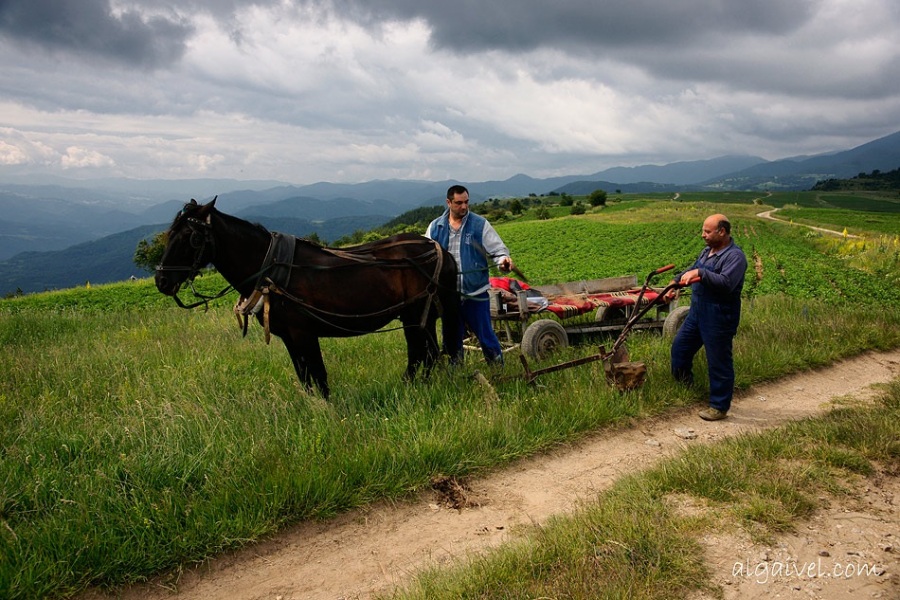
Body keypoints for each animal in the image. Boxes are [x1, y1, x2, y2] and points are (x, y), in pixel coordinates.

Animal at [153, 197, 458, 398]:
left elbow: (318, 377)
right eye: (169, 234)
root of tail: (438, 249)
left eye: (191, 238)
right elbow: (305, 378)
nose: (161, 281)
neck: (272, 268)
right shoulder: (289, 336)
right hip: (418, 316)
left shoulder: (303, 334)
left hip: (415, 315)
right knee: (426, 353)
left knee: (422, 353)